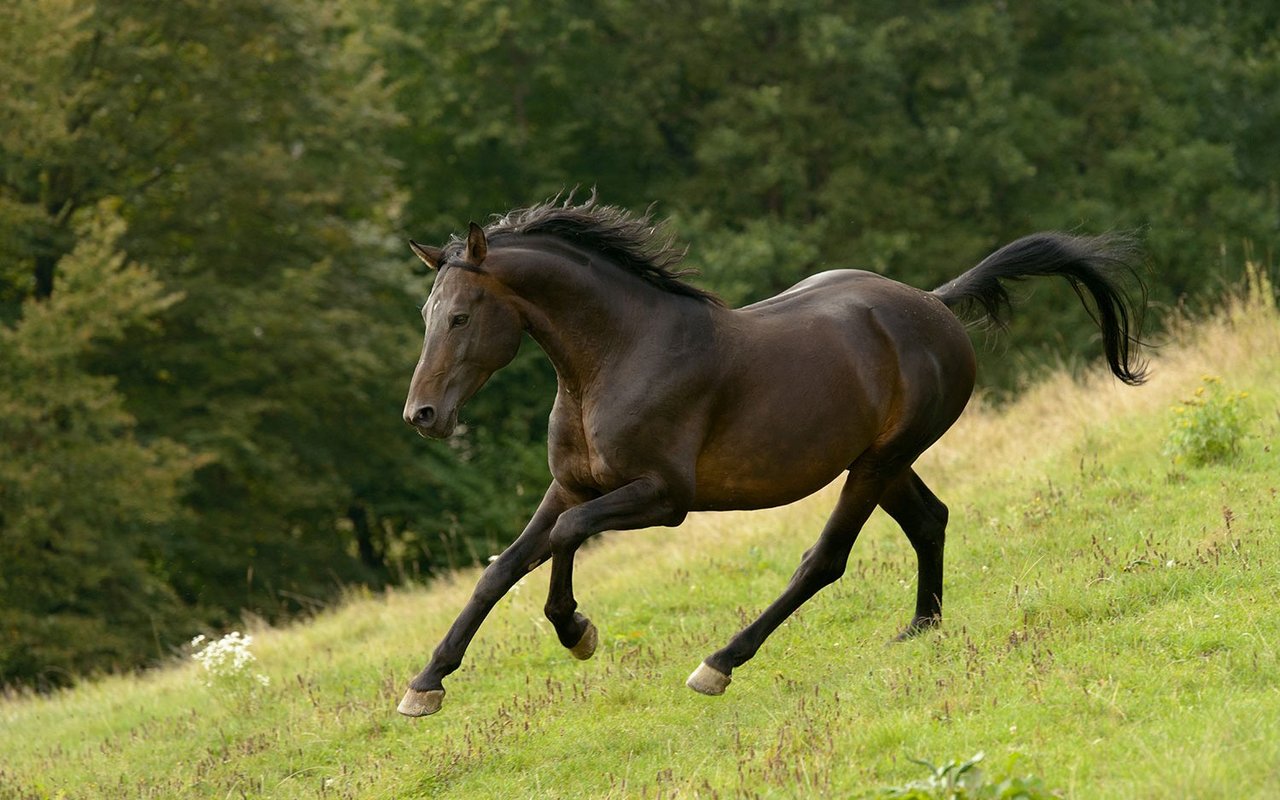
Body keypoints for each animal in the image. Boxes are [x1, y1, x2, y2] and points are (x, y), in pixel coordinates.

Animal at [394, 194, 1146, 716]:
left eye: (460, 316)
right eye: (426, 315)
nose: (422, 416)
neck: (614, 358)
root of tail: (933, 304)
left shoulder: (664, 498)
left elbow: (566, 540)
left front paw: (577, 631)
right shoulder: (571, 486)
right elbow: (502, 568)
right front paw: (425, 685)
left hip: (875, 464)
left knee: (825, 560)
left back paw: (720, 663)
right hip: (881, 461)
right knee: (929, 520)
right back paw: (921, 628)